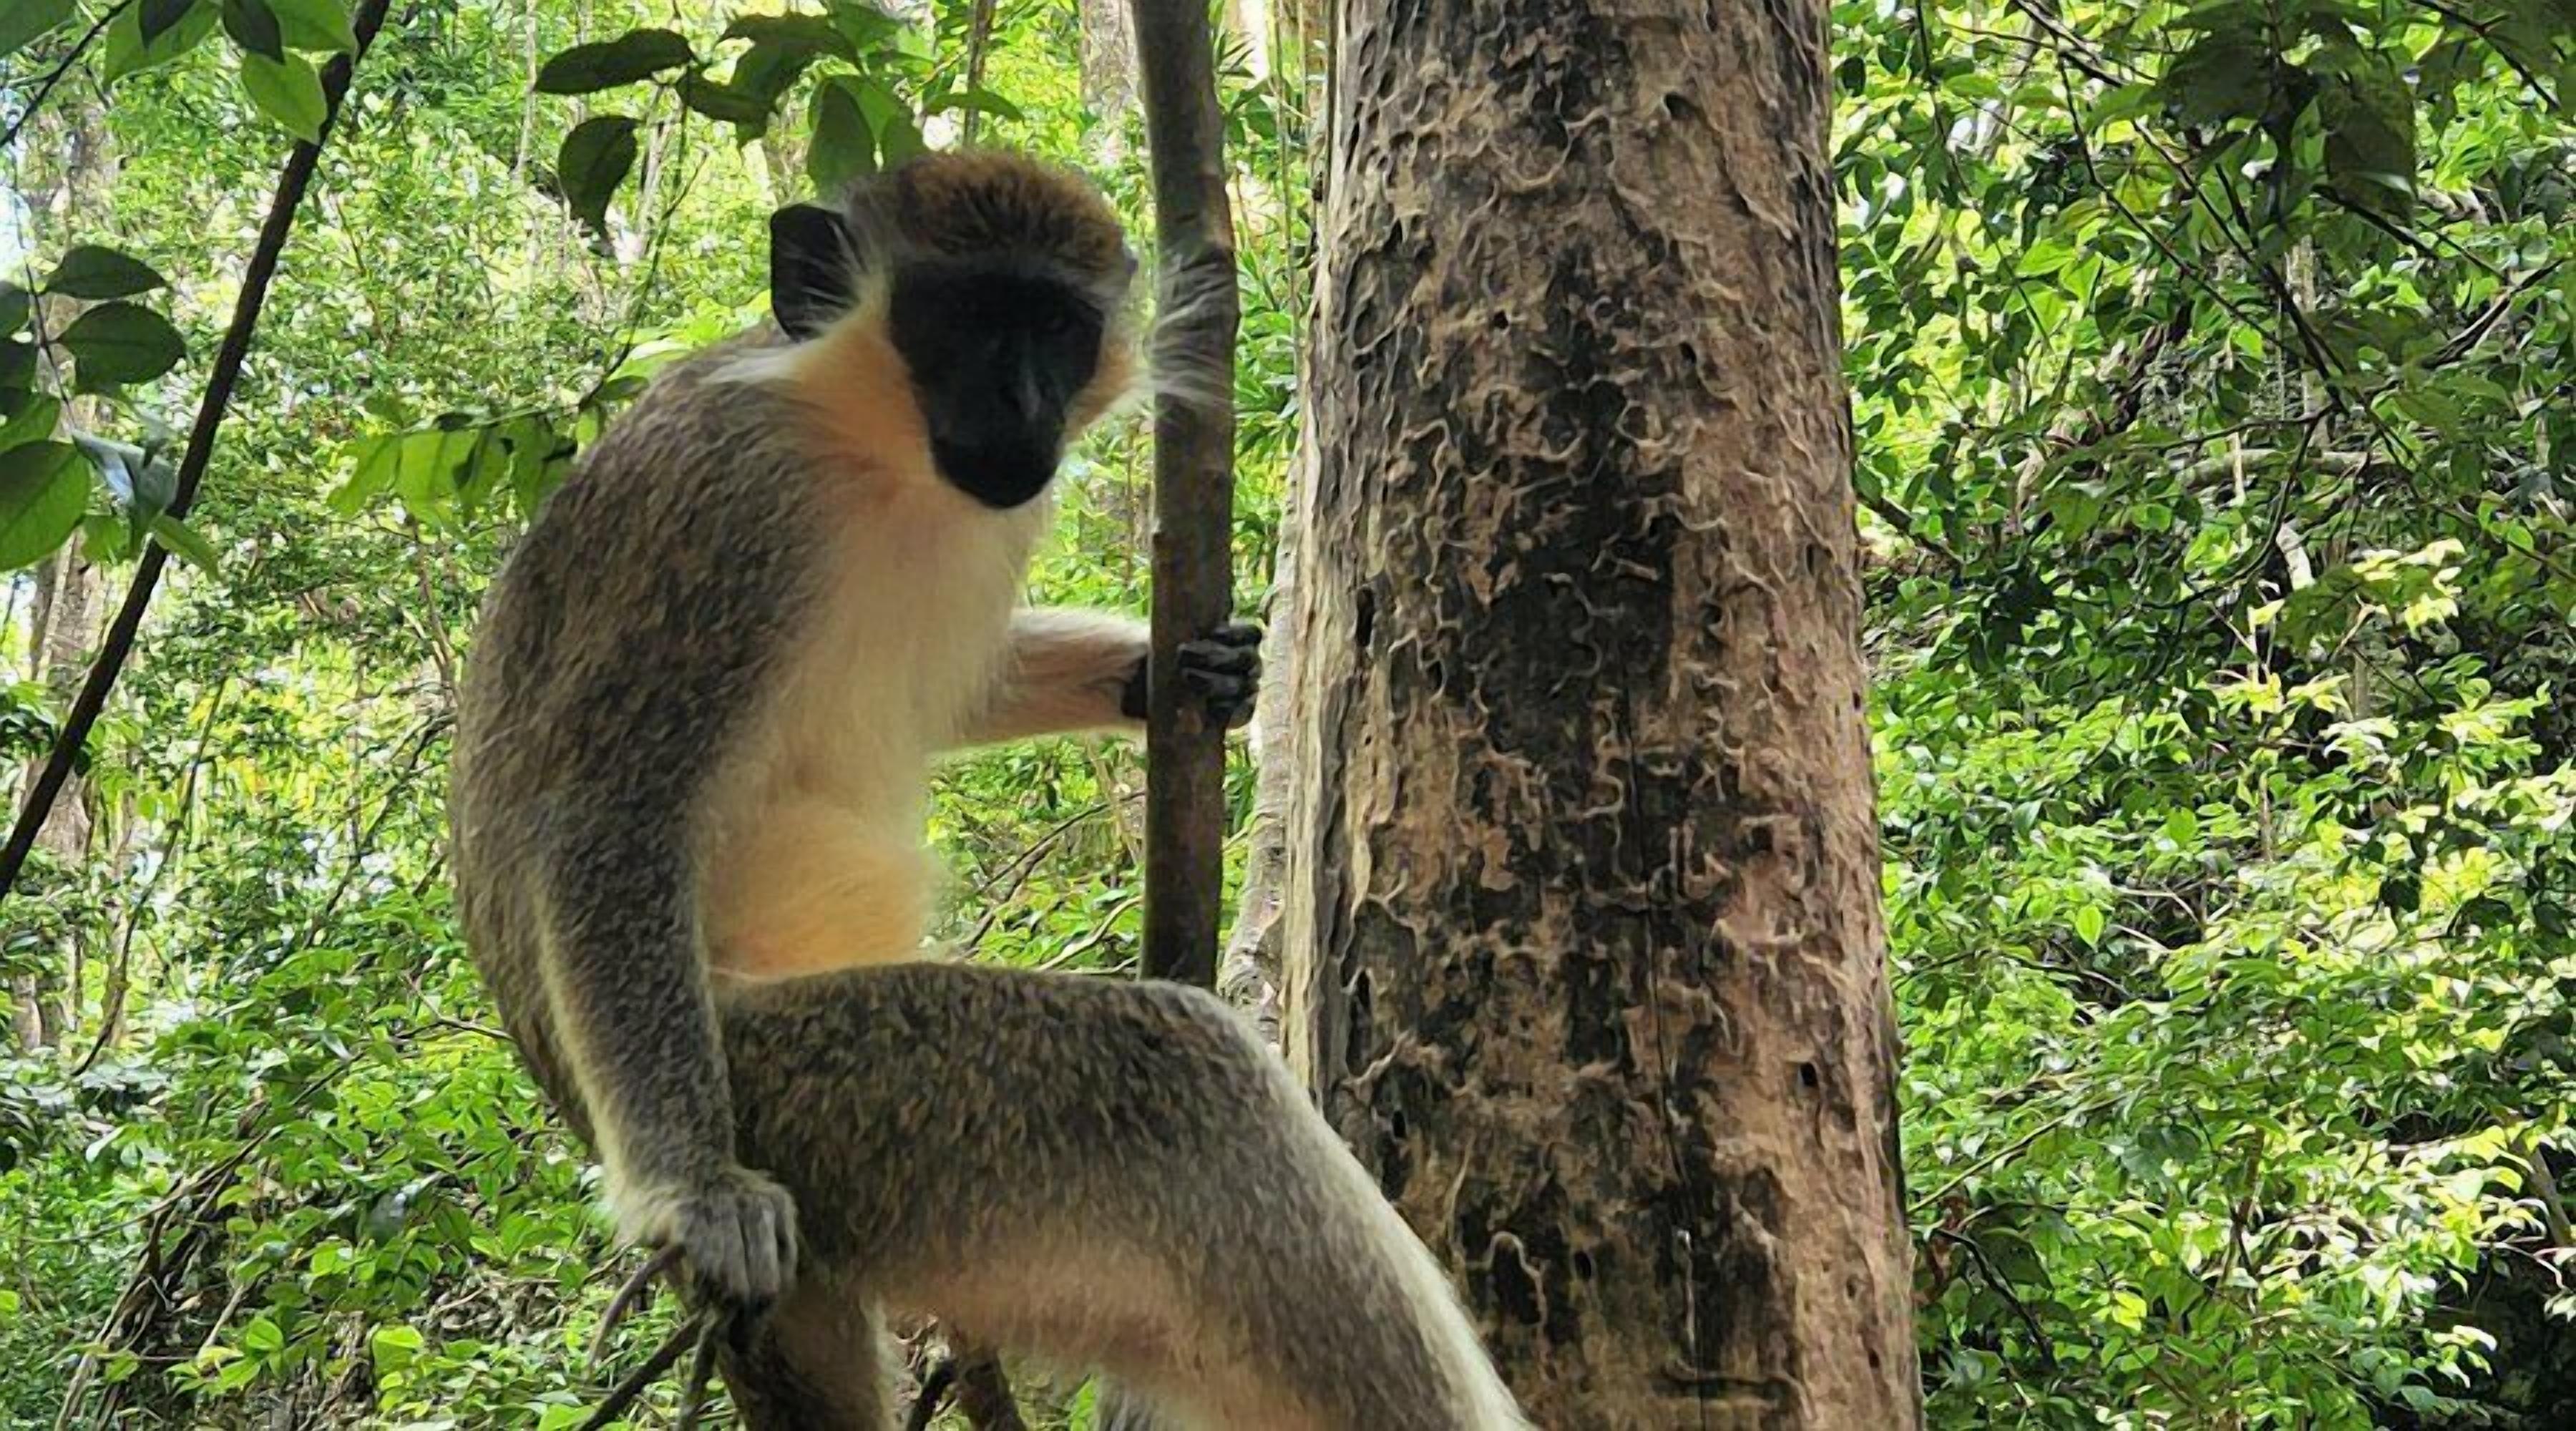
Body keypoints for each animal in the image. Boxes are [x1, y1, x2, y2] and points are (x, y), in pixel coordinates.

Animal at [449, 150, 1528, 1429]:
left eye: (1054, 328)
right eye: (963, 319)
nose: (1020, 408)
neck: (871, 455)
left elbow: (953, 695)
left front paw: (1173, 673)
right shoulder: (720, 513)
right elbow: (608, 815)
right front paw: (696, 1192)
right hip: (831, 1098)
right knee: (1171, 1080)